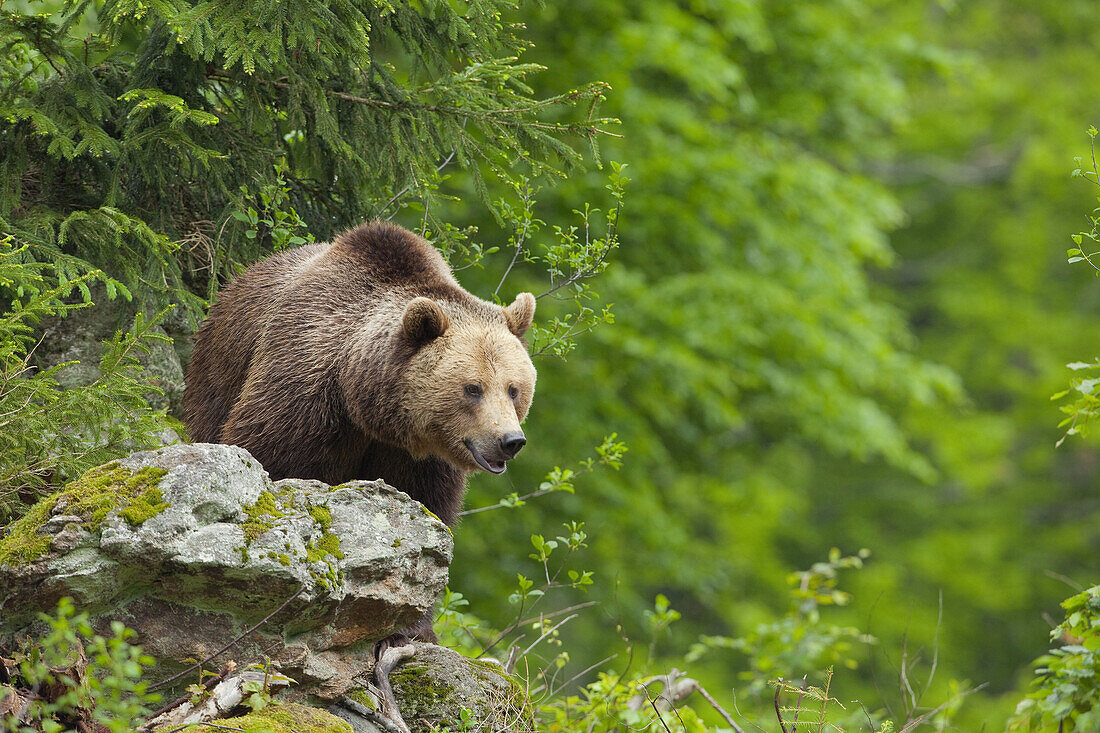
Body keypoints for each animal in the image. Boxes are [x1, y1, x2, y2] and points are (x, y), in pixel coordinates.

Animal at [184, 216, 536, 526]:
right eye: (472, 388)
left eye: (513, 389)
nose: (510, 440)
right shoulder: (304, 385)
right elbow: (269, 453)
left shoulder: (418, 460)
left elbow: (428, 499)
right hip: (221, 367)